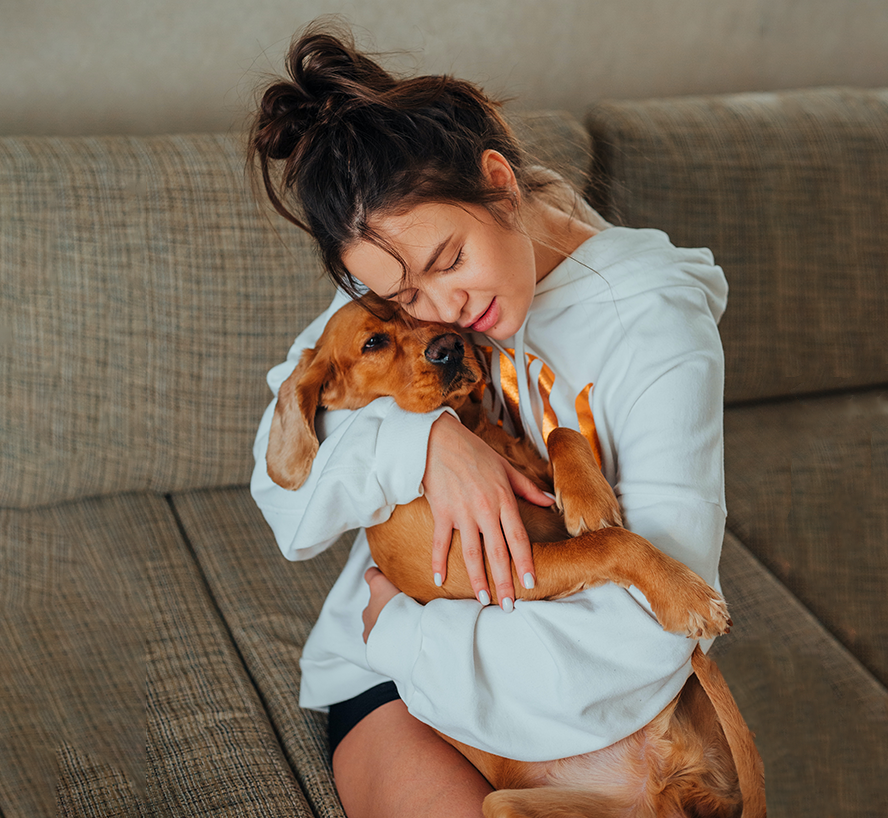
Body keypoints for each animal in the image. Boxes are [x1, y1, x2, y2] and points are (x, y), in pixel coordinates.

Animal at [268, 294, 768, 816]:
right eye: (373, 342)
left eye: (428, 315)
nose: (449, 347)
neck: (474, 432)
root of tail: (664, 782)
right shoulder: (499, 569)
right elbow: (609, 540)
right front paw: (687, 596)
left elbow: (562, 432)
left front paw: (588, 497)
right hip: (502, 804)